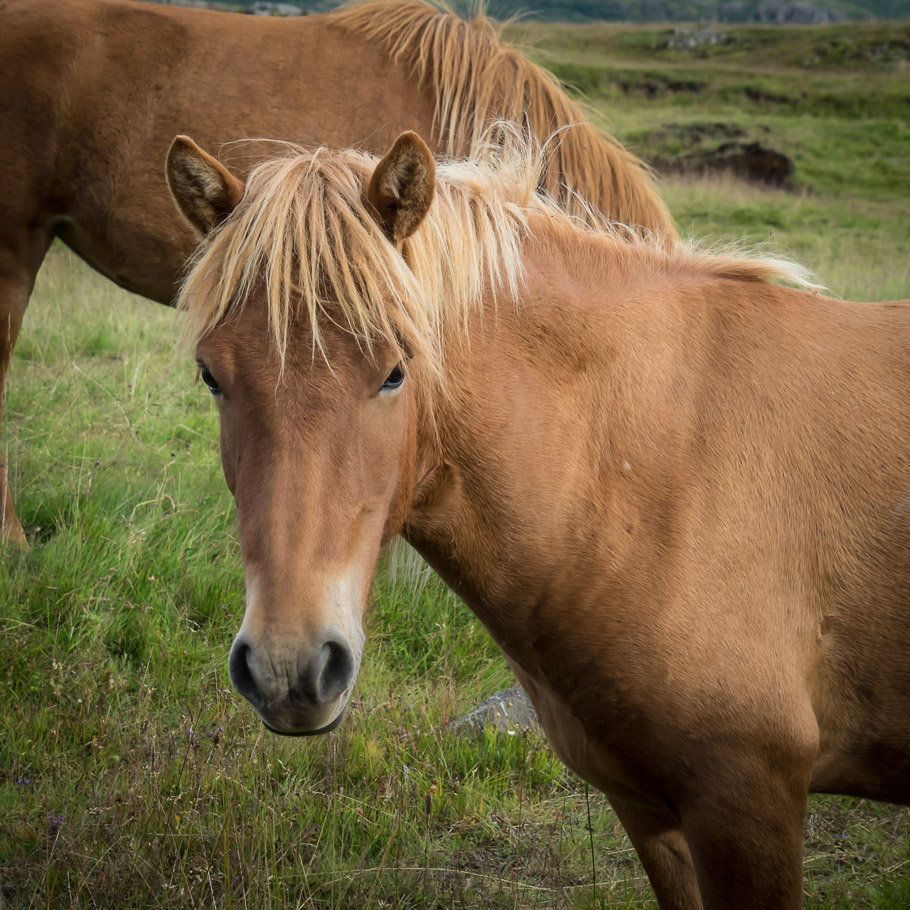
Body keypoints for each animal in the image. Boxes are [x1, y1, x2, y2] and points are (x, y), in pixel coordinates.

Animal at [166, 126, 910, 909]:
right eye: (211, 375)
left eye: (396, 371)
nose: (287, 668)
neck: (657, 464)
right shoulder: (652, 815)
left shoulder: (748, 800)